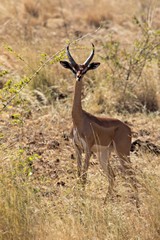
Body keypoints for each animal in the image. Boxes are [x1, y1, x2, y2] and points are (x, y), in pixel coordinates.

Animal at [59, 43, 138, 201]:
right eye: (73, 68)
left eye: (85, 69)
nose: (79, 76)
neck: (79, 120)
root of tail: (127, 128)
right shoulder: (77, 148)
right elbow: (78, 174)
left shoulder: (88, 149)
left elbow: (84, 176)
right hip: (104, 155)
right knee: (113, 176)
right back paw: (106, 202)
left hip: (122, 154)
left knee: (132, 176)